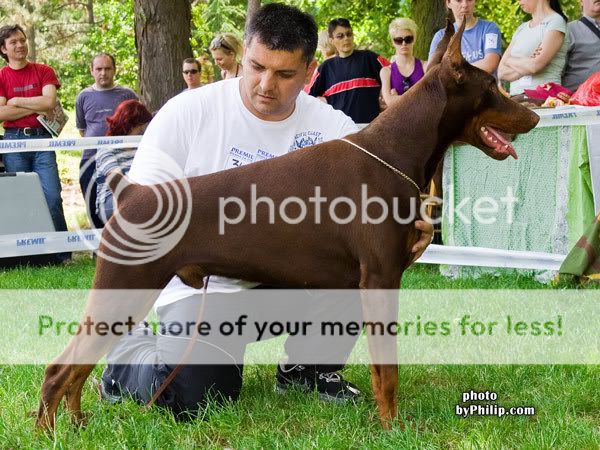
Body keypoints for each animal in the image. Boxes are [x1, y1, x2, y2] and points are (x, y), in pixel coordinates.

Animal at [38, 21, 540, 432]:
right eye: (491, 86)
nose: (535, 115)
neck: (395, 150)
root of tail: (130, 192)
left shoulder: (367, 279)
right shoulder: (380, 278)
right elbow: (388, 371)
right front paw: (393, 428)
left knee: (78, 368)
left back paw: (77, 424)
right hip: (125, 285)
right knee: (60, 368)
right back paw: (52, 432)